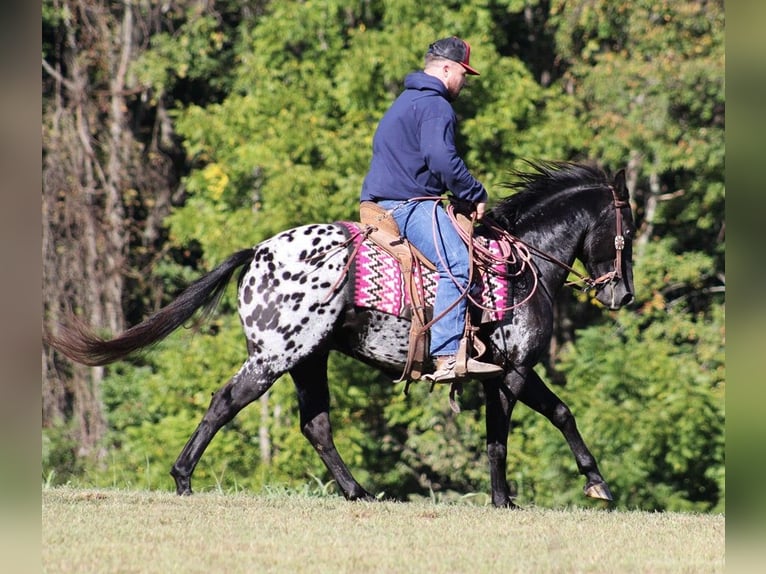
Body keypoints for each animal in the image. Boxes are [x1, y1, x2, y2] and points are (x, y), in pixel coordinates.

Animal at [46, 161, 636, 508]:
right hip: (275, 358)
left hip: (309, 360)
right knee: (225, 402)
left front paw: (570, 486)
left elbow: (535, 423)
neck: (520, 264)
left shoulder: (505, 375)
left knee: (316, 426)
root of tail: (255, 254)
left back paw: (358, 491)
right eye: (627, 230)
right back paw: (183, 478)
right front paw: (529, 496)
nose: (623, 295)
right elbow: (519, 432)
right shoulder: (511, 373)